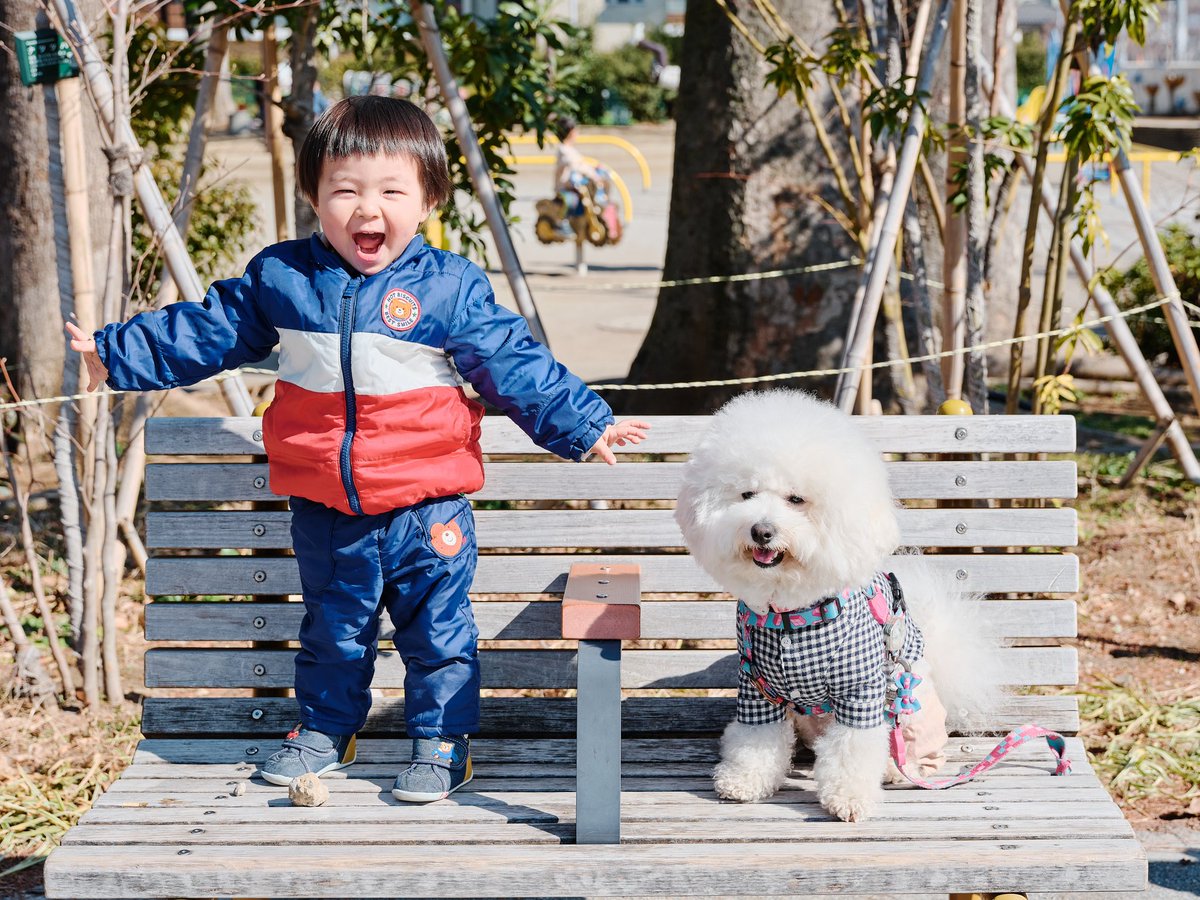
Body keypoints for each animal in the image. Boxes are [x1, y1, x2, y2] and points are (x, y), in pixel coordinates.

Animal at [676, 391, 1003, 820]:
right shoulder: (757, 688)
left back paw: (897, 771)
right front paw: (744, 781)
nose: (761, 531)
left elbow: (854, 748)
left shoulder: (860, 690)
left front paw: (849, 798)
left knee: (921, 756)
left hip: (907, 704)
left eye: (796, 499)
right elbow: (756, 738)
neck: (791, 616)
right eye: (746, 494)